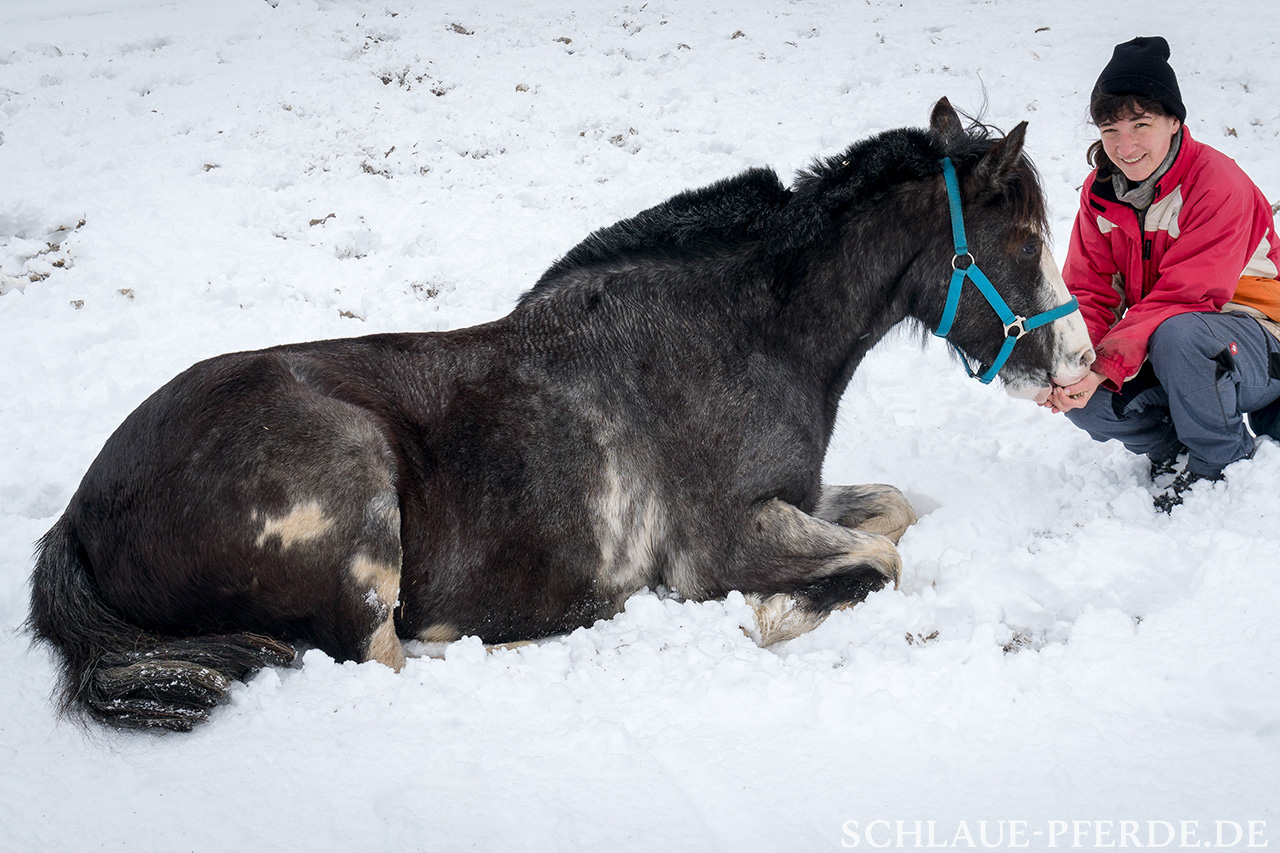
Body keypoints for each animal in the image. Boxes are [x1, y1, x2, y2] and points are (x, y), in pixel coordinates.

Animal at [28, 99, 1094, 731]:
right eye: (1020, 236)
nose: (1079, 366)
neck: (743, 333)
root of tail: (79, 515)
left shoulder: (796, 496)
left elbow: (893, 514)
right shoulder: (724, 542)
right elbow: (879, 559)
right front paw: (773, 614)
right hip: (355, 502)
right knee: (385, 658)